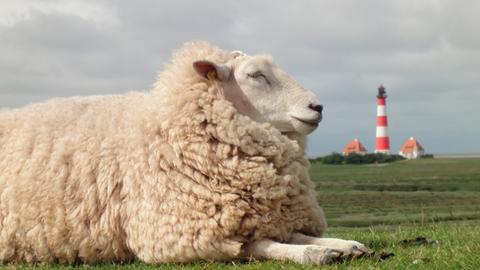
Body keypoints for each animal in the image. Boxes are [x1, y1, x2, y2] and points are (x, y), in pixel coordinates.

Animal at [0, 41, 370, 264]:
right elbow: (262, 245)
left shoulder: (264, 217)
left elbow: (293, 234)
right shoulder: (184, 236)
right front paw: (315, 254)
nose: (317, 107)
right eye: (256, 75)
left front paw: (343, 245)